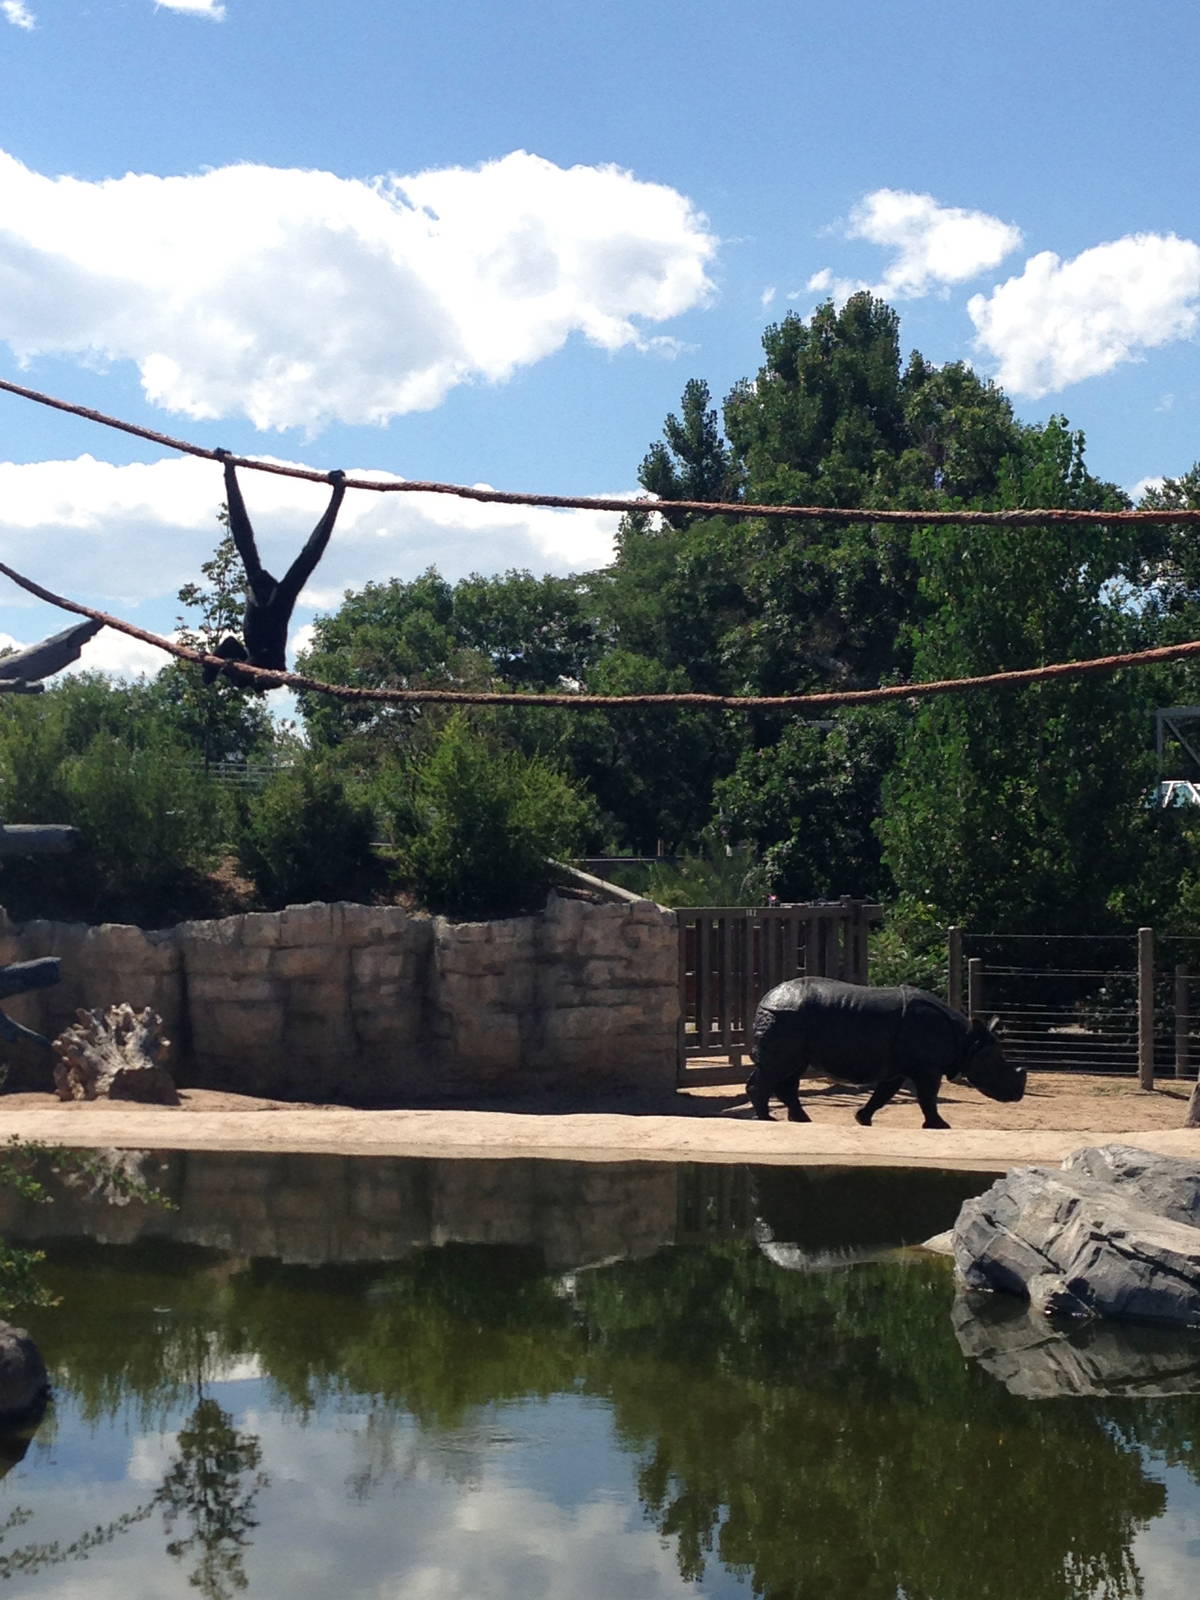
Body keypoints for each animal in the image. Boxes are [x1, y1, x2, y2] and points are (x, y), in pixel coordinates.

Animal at [746, 976, 1024, 1129]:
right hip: (786, 1017)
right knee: (778, 1068)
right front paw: (941, 1126)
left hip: (792, 1021)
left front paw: (862, 1119)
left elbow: (883, 1094)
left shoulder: (900, 1067)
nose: (1017, 1096)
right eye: (997, 1066)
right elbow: (928, 1096)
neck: (967, 1040)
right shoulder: (927, 1067)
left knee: (790, 1070)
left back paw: (802, 1120)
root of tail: (766, 998)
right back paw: (768, 1120)